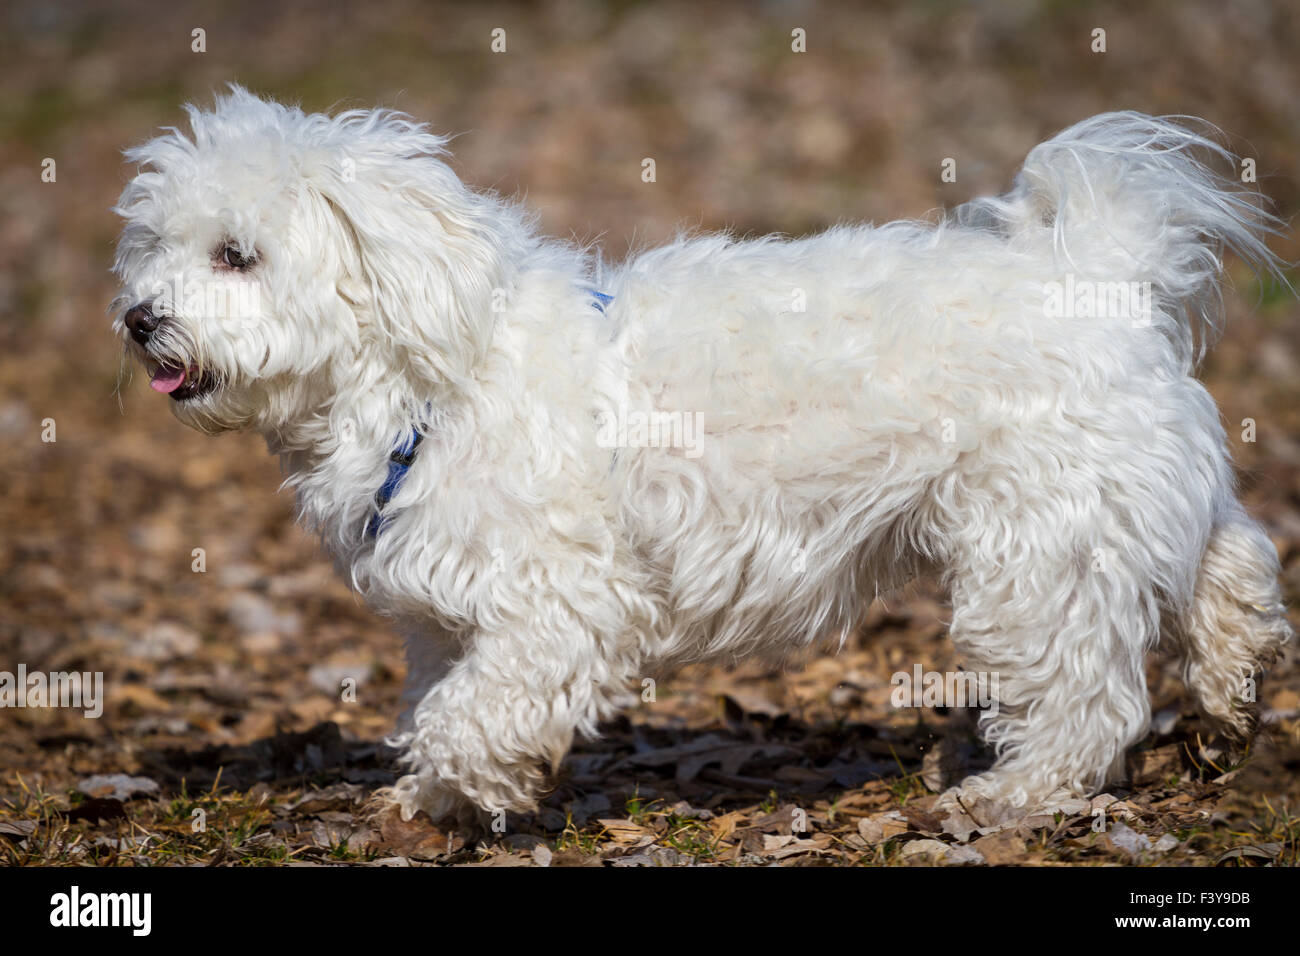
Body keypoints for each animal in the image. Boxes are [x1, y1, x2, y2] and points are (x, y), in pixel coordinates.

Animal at [111, 87, 1289, 822]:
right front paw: (424, 798)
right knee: (1232, 562)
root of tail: (1101, 268)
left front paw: (464, 788)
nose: (136, 318)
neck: (427, 374)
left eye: (236, 255)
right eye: (155, 245)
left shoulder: (558, 603)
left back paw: (1017, 793)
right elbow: (436, 701)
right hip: (1129, 499)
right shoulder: (446, 614)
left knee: (1087, 690)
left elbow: (470, 714)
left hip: (1037, 546)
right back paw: (1233, 692)